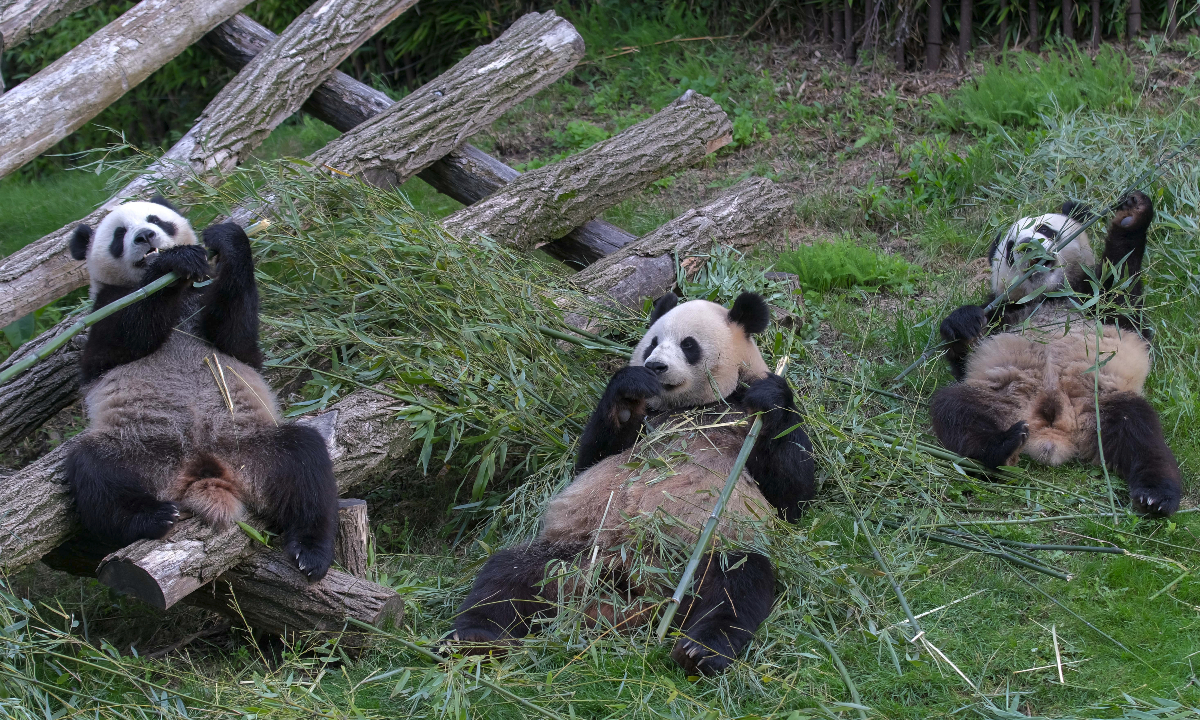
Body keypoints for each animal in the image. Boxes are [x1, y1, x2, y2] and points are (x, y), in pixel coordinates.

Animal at [65, 197, 339, 580]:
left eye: (155, 219)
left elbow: (235, 337)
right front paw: (173, 262)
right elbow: (125, 338)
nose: (146, 236)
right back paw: (152, 516)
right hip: (137, 446)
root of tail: (203, 468)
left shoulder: (209, 302)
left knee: (305, 464)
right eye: (120, 234)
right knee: (94, 472)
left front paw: (226, 240)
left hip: (252, 445)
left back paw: (311, 552)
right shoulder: (103, 311)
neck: (181, 294)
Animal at [451, 292, 815, 675]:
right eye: (652, 343)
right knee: (506, 576)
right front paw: (629, 391)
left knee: (737, 584)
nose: (655, 366)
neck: (694, 407)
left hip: (710, 547)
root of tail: (636, 580)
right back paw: (476, 639)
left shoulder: (741, 416)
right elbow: (593, 456)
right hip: (577, 550)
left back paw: (699, 650)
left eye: (688, 345)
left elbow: (792, 496)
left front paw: (771, 397)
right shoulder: (646, 422)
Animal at [931, 191, 1182, 517]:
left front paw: (1131, 216)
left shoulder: (1092, 301)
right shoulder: (1003, 314)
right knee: (955, 411)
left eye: (1045, 230)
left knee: (1140, 434)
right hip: (998, 398)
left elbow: (1122, 297)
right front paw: (963, 324)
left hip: (1102, 402)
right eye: (1010, 248)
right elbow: (964, 360)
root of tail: (1053, 433)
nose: (1027, 246)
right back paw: (1004, 446)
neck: (1049, 297)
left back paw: (1156, 495)